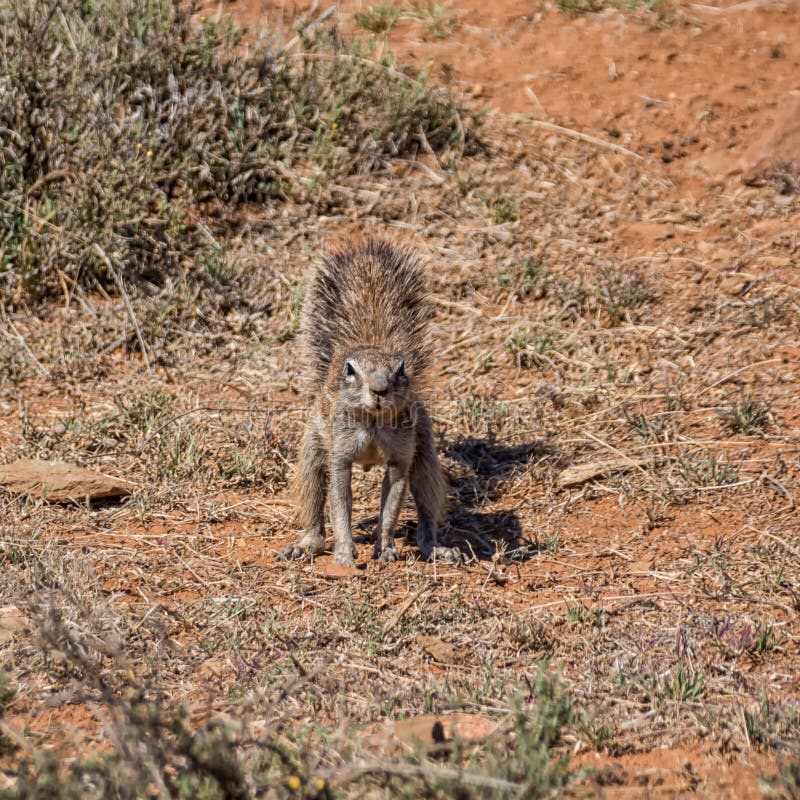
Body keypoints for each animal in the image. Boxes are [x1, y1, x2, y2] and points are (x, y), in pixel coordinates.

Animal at [281, 237, 463, 566]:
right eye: (350, 370)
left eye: (402, 370)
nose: (379, 389)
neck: (374, 421)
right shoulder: (340, 455)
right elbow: (340, 504)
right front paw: (344, 552)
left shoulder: (400, 458)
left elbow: (391, 505)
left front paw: (386, 547)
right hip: (314, 448)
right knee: (313, 495)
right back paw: (306, 544)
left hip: (424, 454)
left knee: (427, 498)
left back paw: (435, 547)